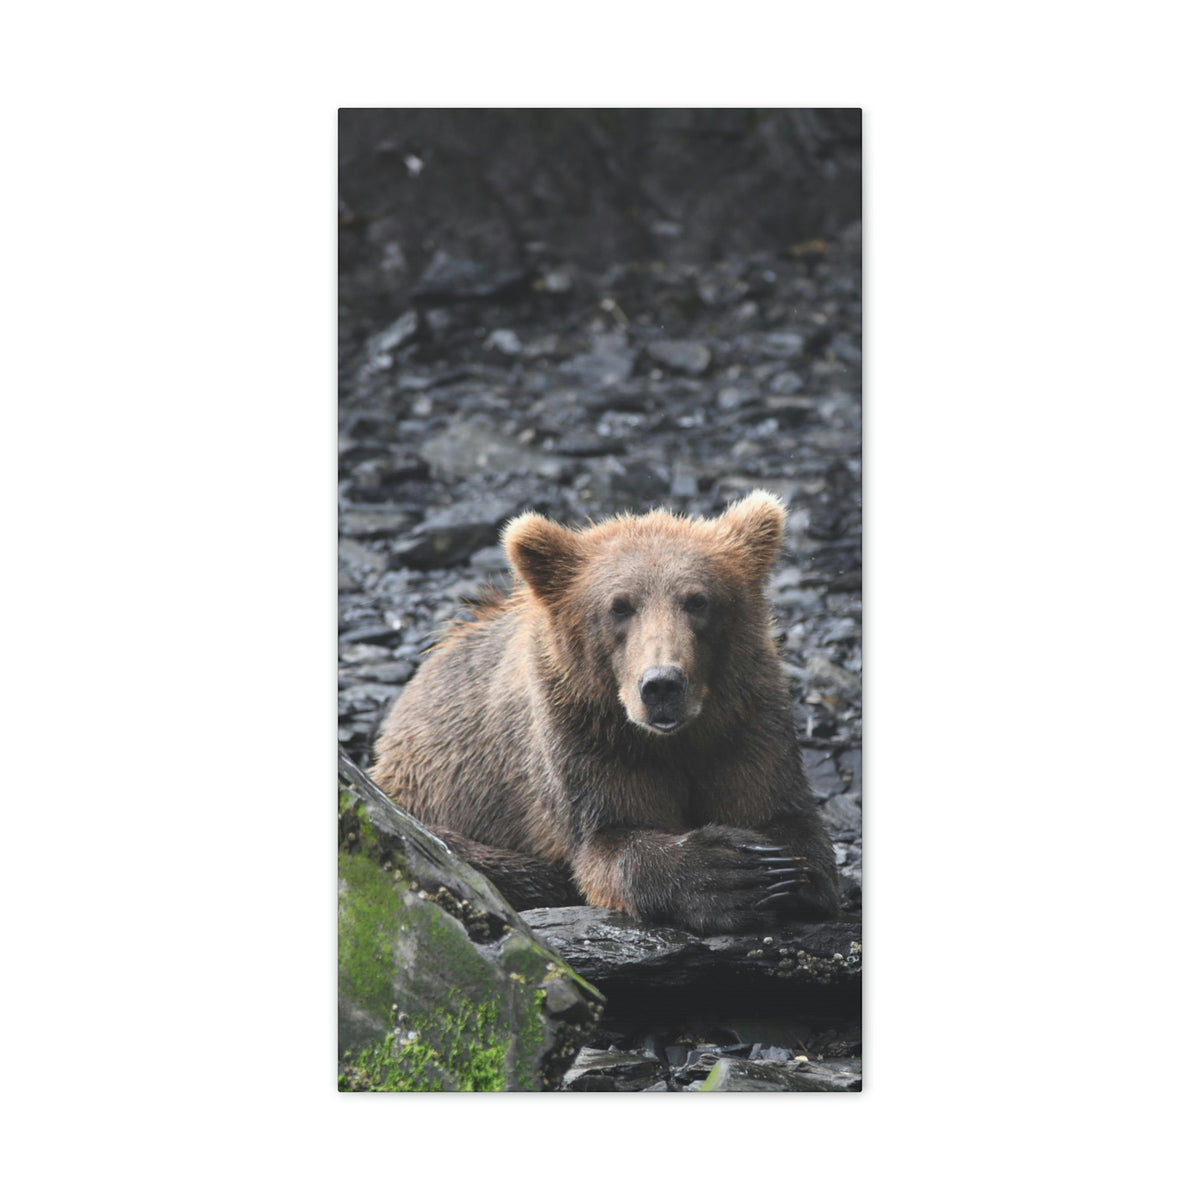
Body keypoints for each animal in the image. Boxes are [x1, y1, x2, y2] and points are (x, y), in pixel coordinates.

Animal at [370, 491, 841, 935]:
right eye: (619, 606)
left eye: (698, 601)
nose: (662, 685)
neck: (672, 740)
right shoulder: (584, 736)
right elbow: (609, 840)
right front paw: (726, 872)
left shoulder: (745, 720)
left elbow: (786, 817)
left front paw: (776, 869)